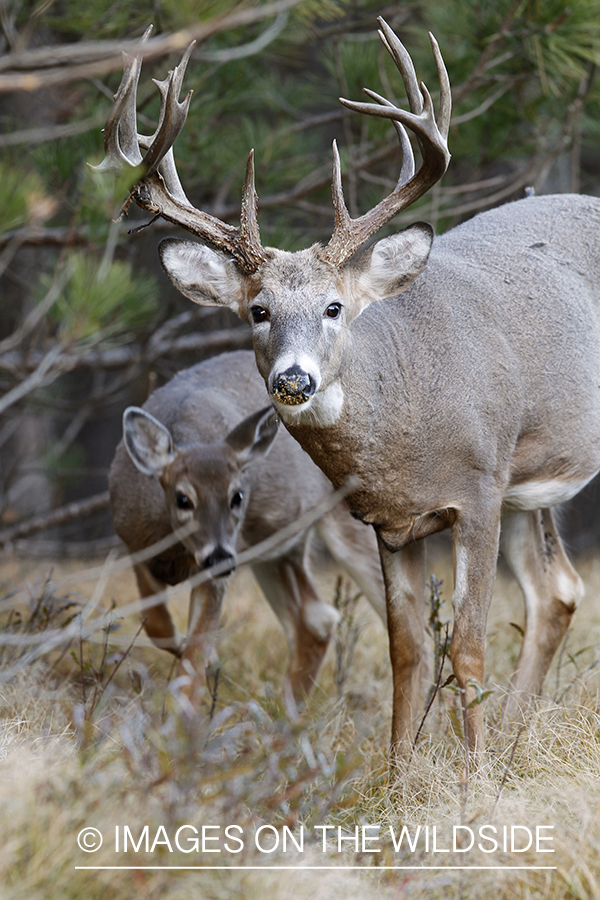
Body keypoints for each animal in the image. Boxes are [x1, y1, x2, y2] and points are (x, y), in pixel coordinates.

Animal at [109, 349, 386, 700]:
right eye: (183, 499)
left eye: (237, 496)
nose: (220, 558)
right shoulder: (135, 547)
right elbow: (158, 626)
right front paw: (209, 662)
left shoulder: (215, 571)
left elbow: (195, 654)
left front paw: (186, 704)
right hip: (276, 548)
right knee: (317, 620)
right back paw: (285, 706)